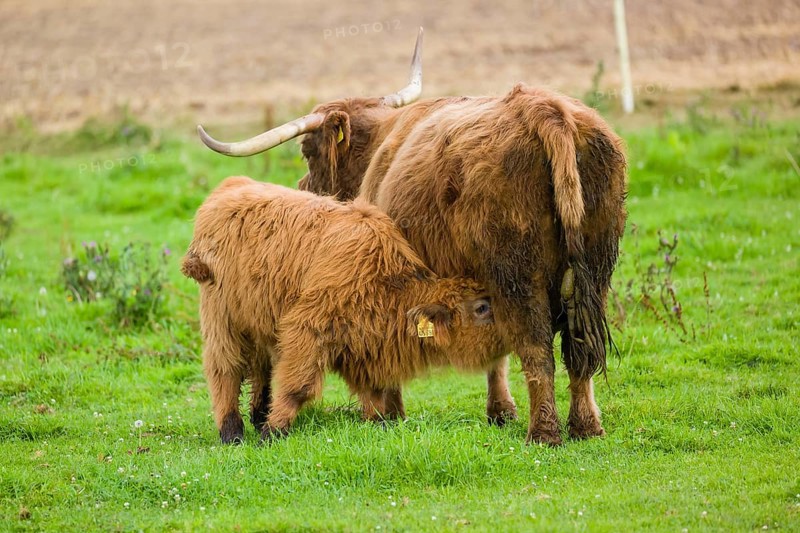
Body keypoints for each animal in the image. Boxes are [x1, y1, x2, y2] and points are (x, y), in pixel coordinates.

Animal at [182, 176, 506, 443]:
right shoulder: (306, 328)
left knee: (260, 366)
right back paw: (232, 431)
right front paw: (273, 432)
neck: (381, 280)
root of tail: (228, 188)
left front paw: (379, 423)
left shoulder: (365, 346)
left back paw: (258, 415)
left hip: (258, 319)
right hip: (222, 319)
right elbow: (297, 386)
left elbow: (373, 392)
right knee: (226, 368)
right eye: (481, 307)